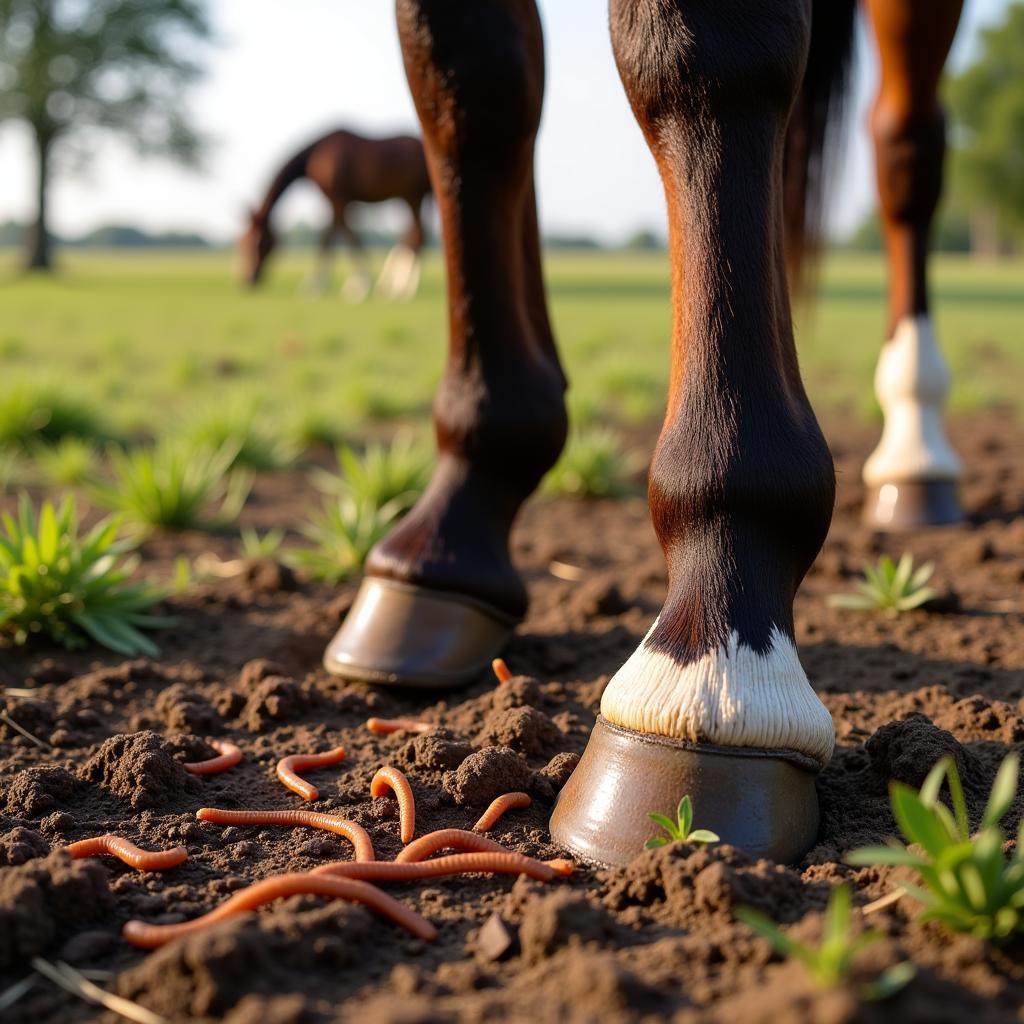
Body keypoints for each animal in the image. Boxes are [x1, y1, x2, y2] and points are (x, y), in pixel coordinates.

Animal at [237, 128, 430, 299]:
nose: (249, 280)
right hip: (409, 197)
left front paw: (358, 285)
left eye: (262, 243)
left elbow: (348, 237)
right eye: (243, 241)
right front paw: (316, 285)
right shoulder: (331, 200)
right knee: (413, 235)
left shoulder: (339, 198)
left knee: (418, 235)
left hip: (414, 196)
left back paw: (403, 289)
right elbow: (327, 239)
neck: (319, 153)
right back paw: (390, 285)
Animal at [323, 0, 962, 864]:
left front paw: (712, 647)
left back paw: (915, 454)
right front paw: (453, 526)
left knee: (906, 151)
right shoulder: (462, 68)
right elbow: (468, 86)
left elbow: (701, 61)